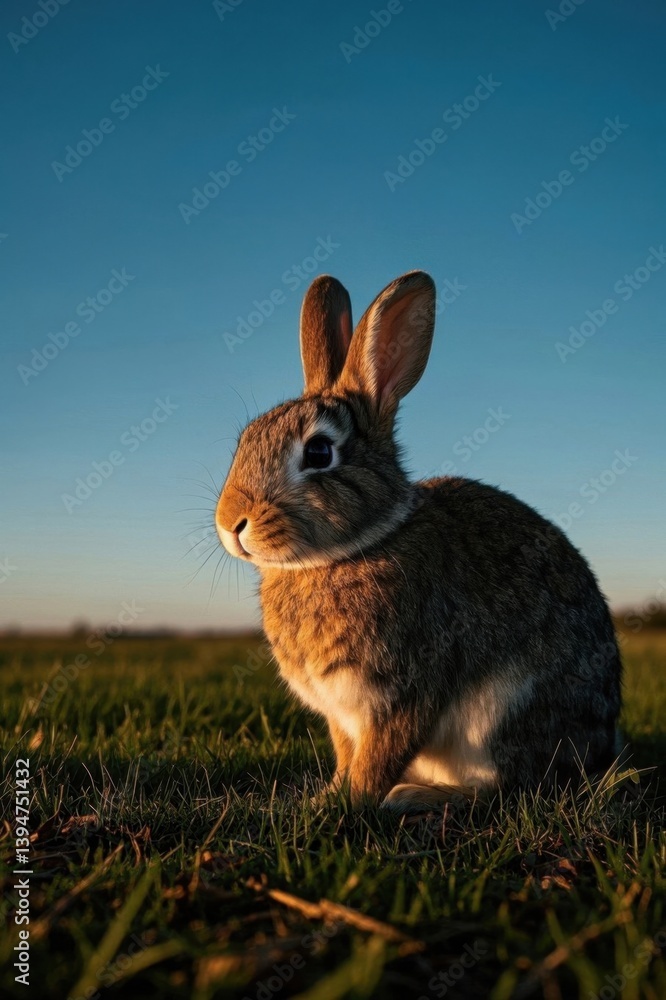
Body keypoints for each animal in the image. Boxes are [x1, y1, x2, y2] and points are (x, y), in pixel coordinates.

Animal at [216, 270, 622, 812]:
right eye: (245, 440)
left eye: (319, 452)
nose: (230, 522)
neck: (350, 550)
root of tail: (601, 744)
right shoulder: (341, 714)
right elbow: (348, 754)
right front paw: (329, 794)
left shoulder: (406, 691)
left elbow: (379, 757)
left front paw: (348, 803)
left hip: (505, 717)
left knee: (509, 787)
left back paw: (413, 796)